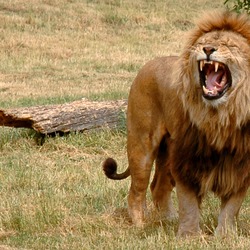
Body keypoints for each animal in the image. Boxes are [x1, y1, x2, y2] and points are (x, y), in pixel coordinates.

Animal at [102, 10, 250, 236]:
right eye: (203, 43)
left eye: (229, 45)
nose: (208, 49)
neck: (221, 117)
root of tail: (147, 65)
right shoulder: (187, 157)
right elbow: (188, 202)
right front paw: (189, 236)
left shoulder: (240, 164)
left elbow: (232, 206)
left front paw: (225, 236)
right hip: (142, 146)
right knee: (137, 190)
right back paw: (140, 224)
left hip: (168, 150)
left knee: (158, 186)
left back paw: (168, 220)